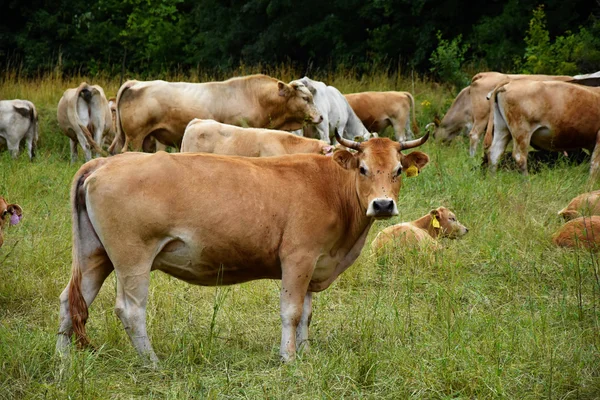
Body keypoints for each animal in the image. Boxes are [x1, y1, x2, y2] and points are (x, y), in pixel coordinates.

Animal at [55, 130, 432, 364]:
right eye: (363, 169)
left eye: (399, 169)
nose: (382, 205)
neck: (329, 188)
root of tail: (106, 161)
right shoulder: (298, 258)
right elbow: (292, 311)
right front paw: (289, 357)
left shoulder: (316, 262)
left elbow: (307, 314)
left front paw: (306, 353)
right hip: (132, 257)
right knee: (130, 310)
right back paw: (152, 363)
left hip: (94, 256)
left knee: (71, 301)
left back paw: (62, 360)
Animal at [434, 72, 568, 156]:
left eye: (434, 136)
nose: (437, 149)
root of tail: (484, 74)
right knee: (475, 135)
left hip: (483, 117)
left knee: (475, 135)